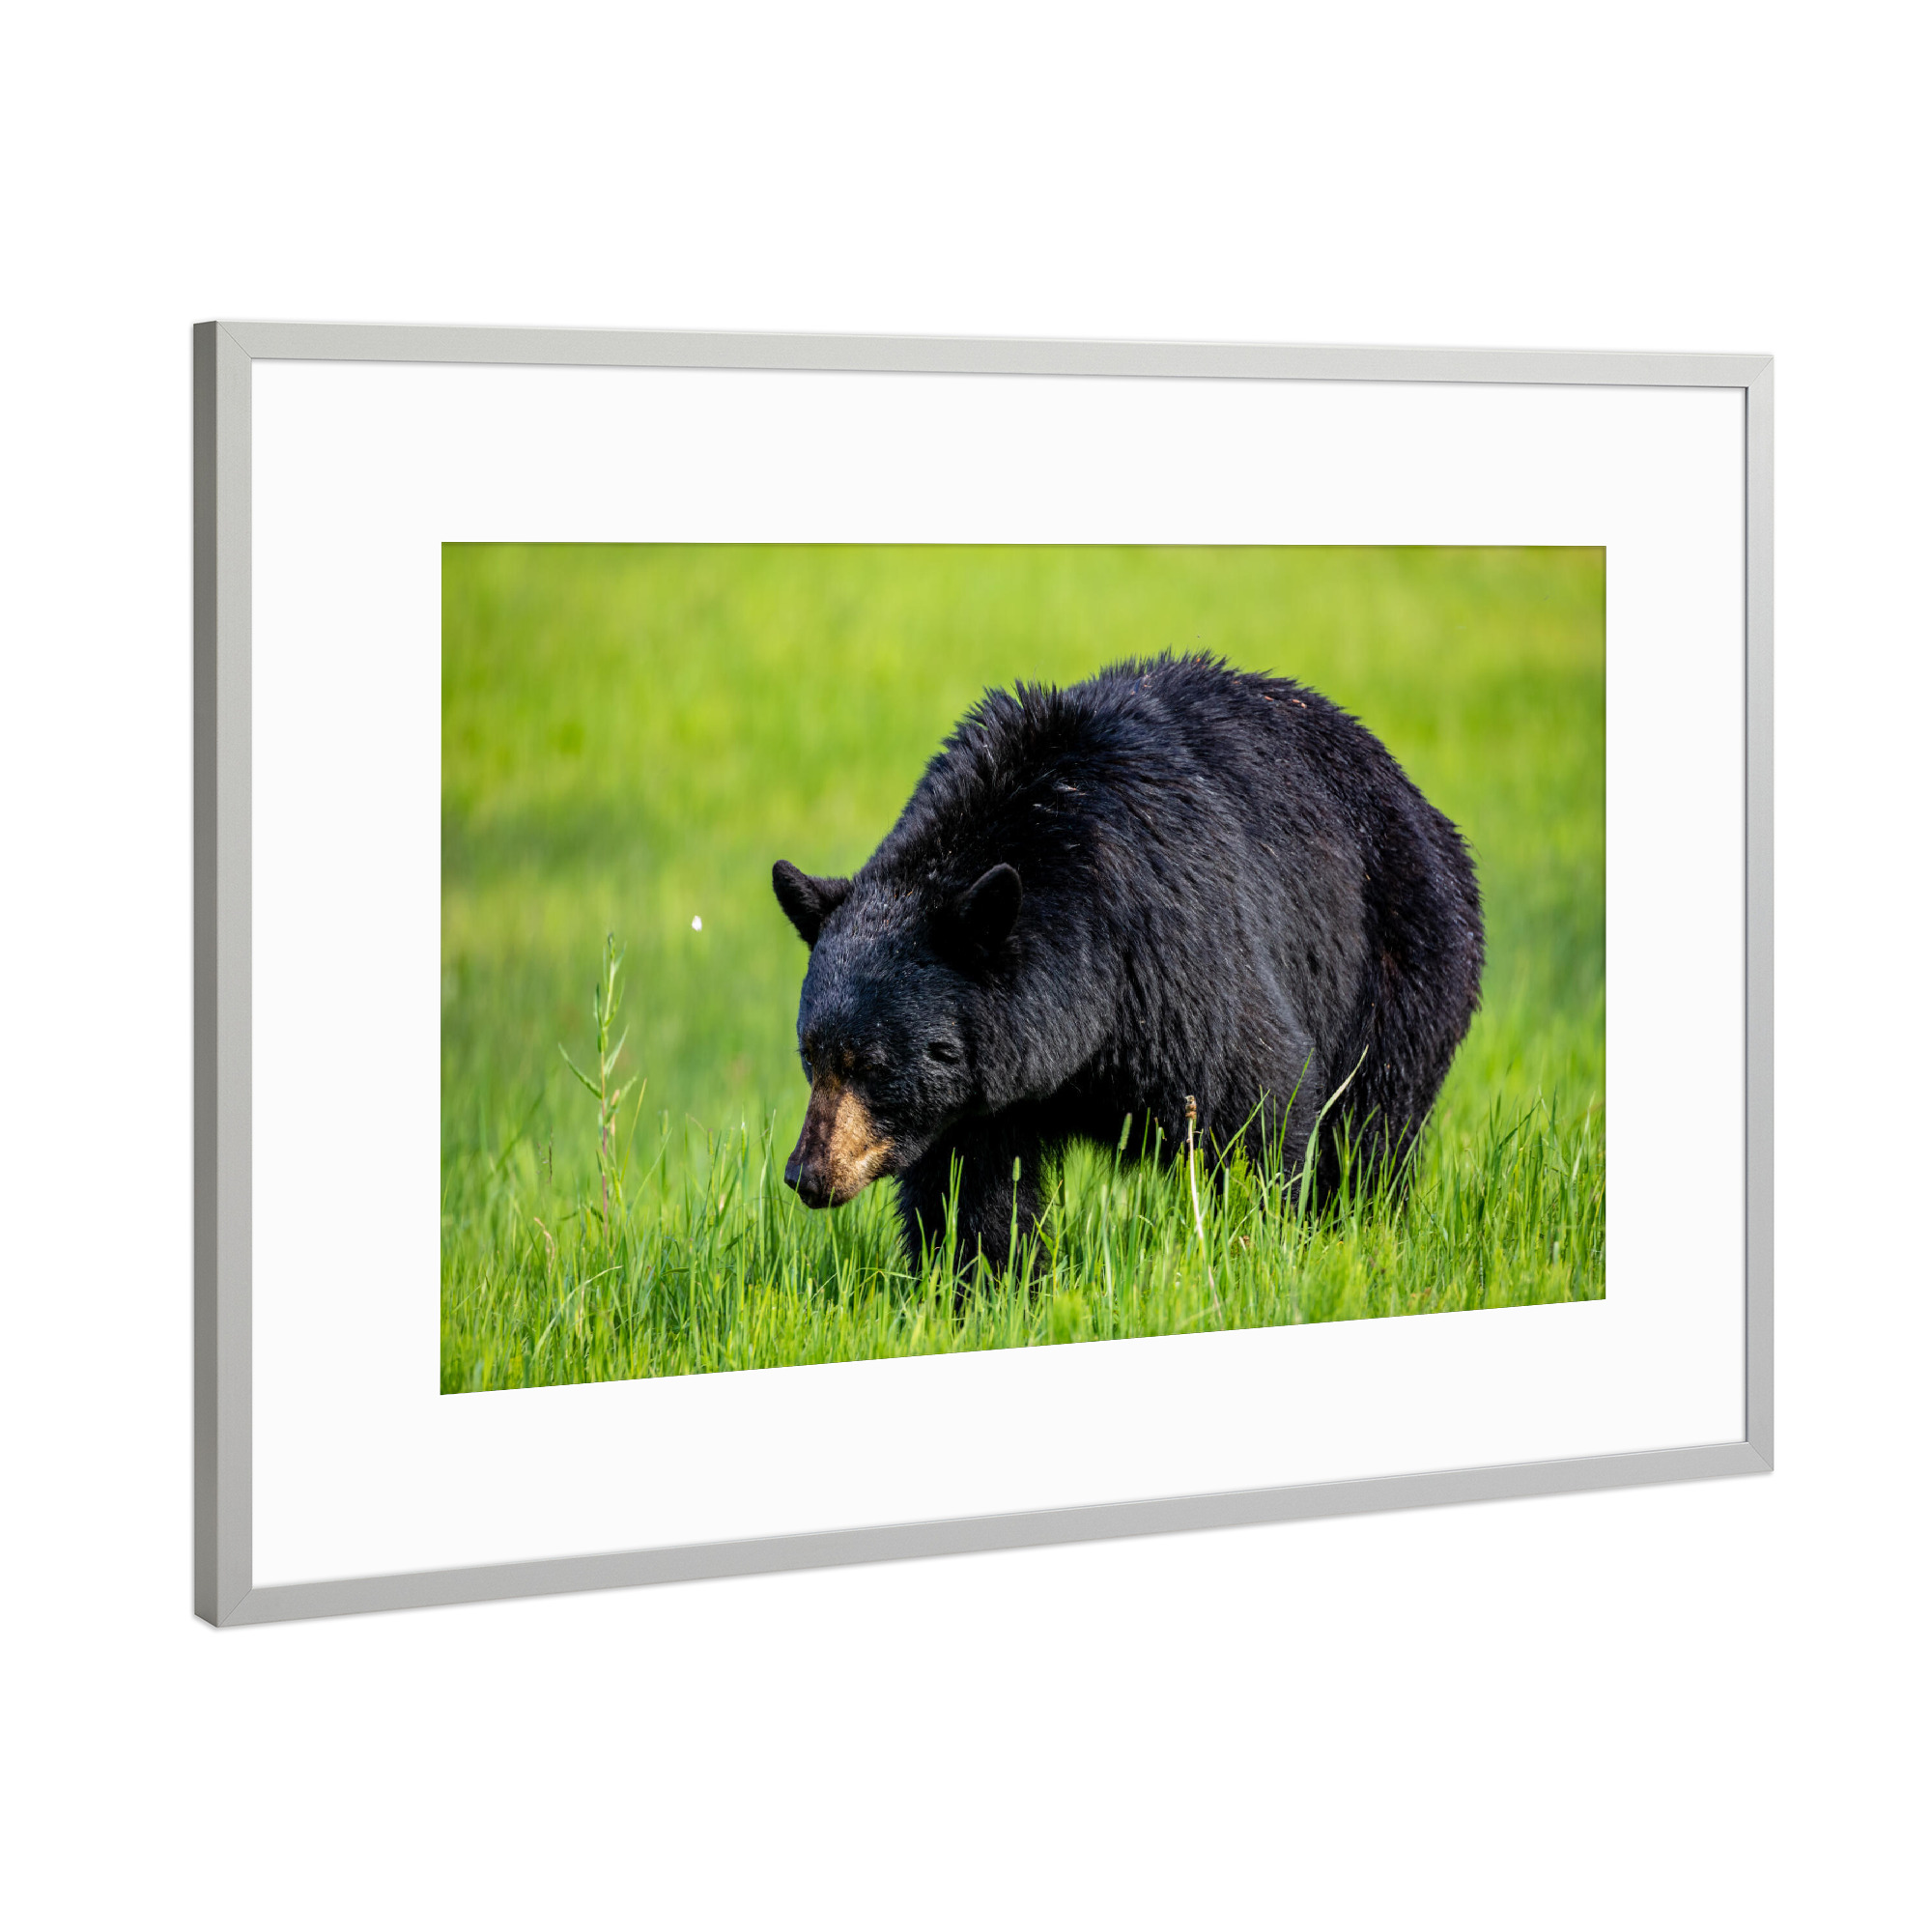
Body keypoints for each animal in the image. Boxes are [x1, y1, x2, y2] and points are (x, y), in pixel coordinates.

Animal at [771, 651, 1484, 1279]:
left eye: (873, 1064)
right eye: (811, 1055)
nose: (807, 1174)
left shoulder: (1177, 954)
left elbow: (1254, 1102)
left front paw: (1253, 1249)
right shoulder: (981, 1092)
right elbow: (971, 1195)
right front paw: (981, 1288)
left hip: (1399, 956)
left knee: (1372, 1129)